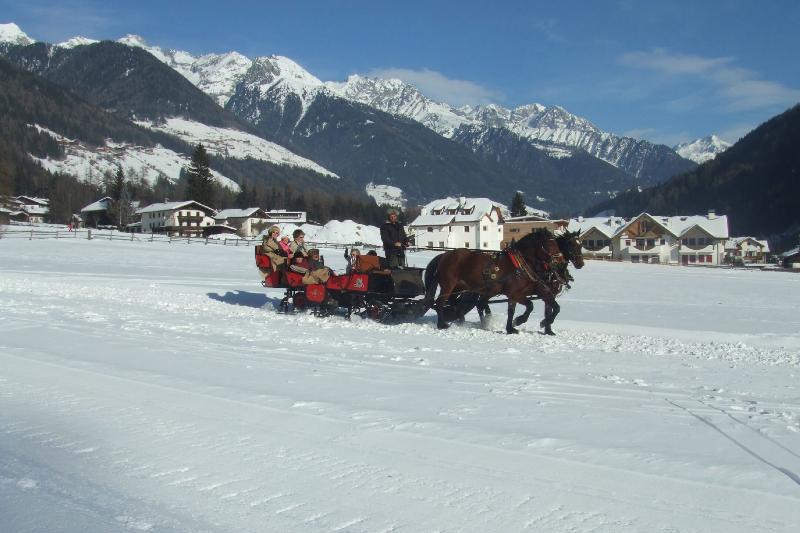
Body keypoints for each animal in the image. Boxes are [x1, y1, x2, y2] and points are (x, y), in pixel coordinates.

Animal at [424, 229, 568, 332]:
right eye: (550, 244)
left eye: (557, 244)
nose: (561, 263)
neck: (519, 265)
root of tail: (444, 255)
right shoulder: (515, 293)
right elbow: (530, 305)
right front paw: (519, 321)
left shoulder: (519, 293)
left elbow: (512, 310)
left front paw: (511, 328)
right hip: (448, 285)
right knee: (441, 302)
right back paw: (442, 324)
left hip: (459, 287)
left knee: (454, 302)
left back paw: (461, 318)